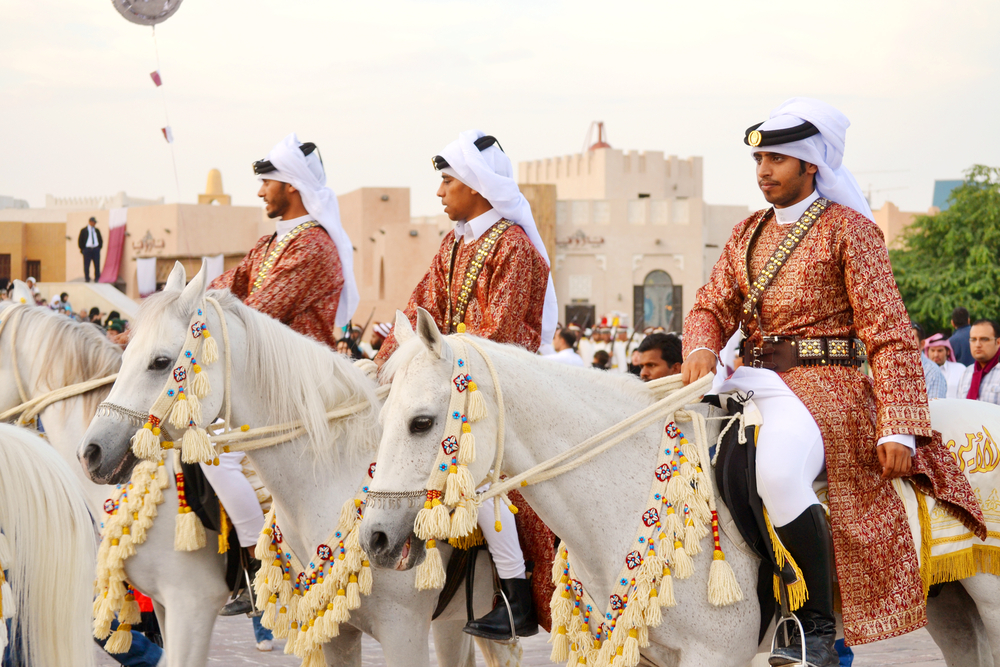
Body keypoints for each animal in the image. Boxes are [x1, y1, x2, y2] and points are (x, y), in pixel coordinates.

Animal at [78, 264, 524, 667]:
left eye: (160, 361)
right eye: (125, 354)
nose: (92, 451)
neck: (330, 480)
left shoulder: (403, 630)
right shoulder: (336, 631)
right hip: (451, 624)